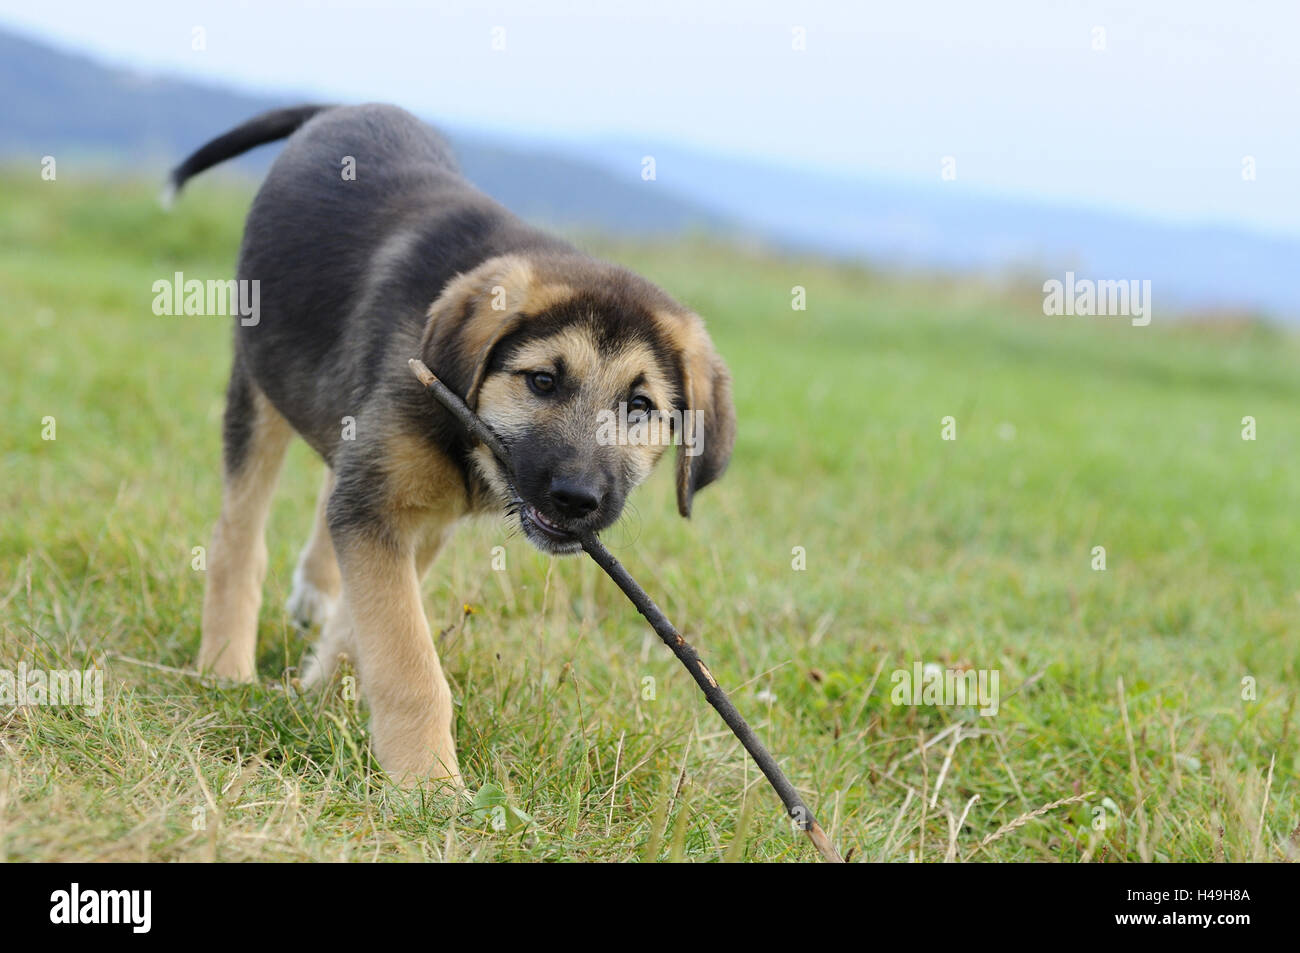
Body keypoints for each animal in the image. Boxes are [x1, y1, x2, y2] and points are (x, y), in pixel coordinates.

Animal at [174, 104, 738, 790]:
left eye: (639, 407)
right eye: (543, 381)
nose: (577, 500)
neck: (469, 443)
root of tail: (342, 107)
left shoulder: (407, 520)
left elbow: (366, 628)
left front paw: (323, 696)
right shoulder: (379, 510)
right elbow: (407, 659)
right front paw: (429, 785)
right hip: (261, 378)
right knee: (239, 532)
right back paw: (225, 666)